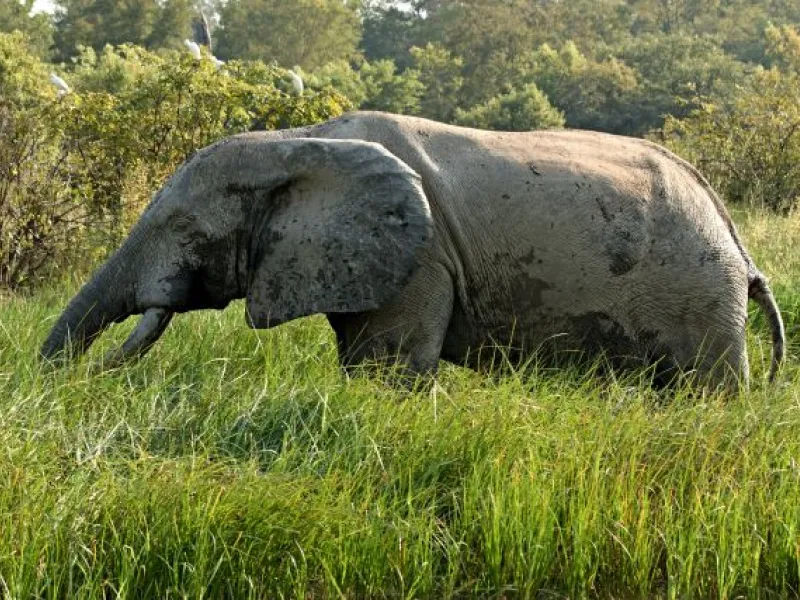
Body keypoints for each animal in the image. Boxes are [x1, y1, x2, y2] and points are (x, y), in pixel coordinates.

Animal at [42, 111, 785, 389]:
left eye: (189, 231)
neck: (299, 140)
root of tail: (740, 247)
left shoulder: (419, 261)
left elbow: (388, 369)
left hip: (697, 292)